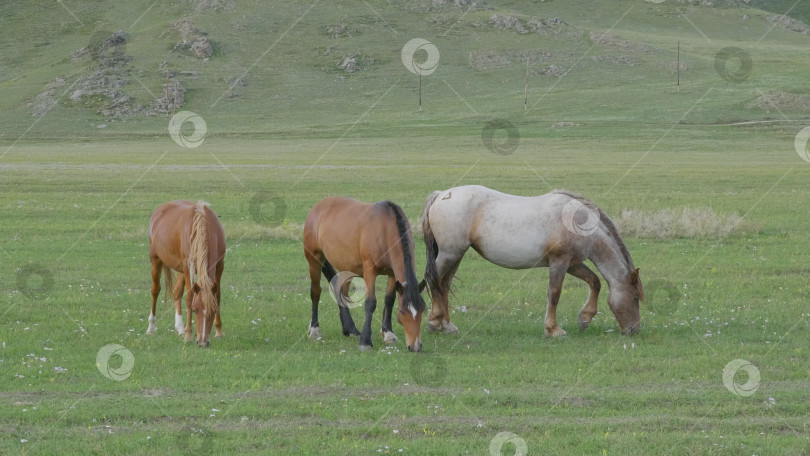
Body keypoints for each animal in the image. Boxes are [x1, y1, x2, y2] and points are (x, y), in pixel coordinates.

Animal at [146, 200, 226, 346]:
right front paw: (188, 335)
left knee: (176, 292)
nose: (202, 342)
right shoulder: (188, 266)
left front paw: (219, 331)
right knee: (155, 291)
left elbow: (217, 296)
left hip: (181, 270)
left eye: (213, 311)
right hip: (156, 260)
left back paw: (180, 327)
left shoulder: (220, 265)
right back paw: (151, 327)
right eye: (194, 310)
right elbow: (189, 298)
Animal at [304, 197, 426, 352]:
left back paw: (350, 329)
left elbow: (389, 300)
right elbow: (370, 302)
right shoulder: (370, 270)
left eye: (422, 311)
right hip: (314, 259)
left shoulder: (392, 273)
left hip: (346, 268)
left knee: (341, 291)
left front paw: (388, 334)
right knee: (315, 292)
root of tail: (317, 207)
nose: (415, 346)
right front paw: (366, 341)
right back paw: (314, 329)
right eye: (403, 312)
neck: (384, 228)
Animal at [420, 185, 640, 338]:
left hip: (455, 255)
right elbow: (554, 294)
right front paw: (553, 330)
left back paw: (447, 326)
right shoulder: (559, 261)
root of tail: (441, 195)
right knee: (435, 281)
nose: (635, 329)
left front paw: (584, 319)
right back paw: (434, 322)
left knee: (444, 285)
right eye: (635, 298)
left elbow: (595, 282)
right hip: (450, 254)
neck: (578, 221)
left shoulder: (573, 264)